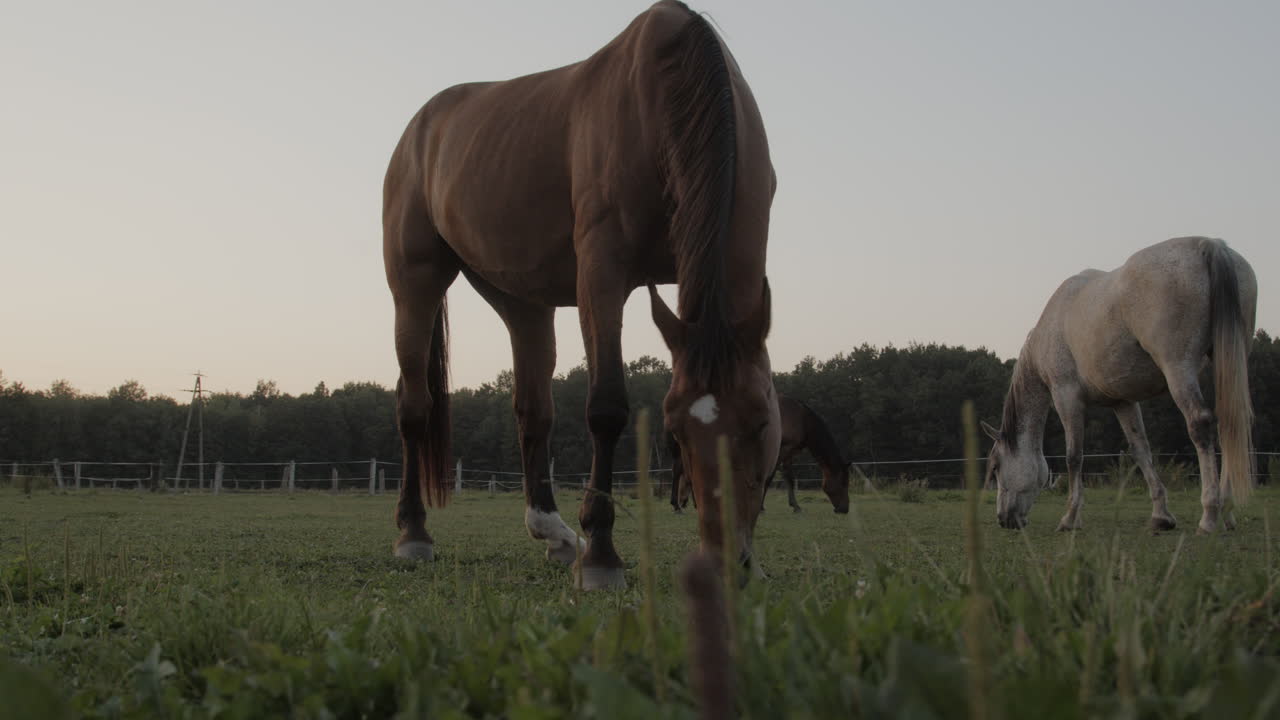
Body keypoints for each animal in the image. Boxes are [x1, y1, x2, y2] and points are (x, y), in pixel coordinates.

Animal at [382, 1, 778, 589]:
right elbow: (607, 407)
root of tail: (420, 129)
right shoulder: (602, 274)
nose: (728, 561)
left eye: (760, 423)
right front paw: (603, 557)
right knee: (414, 406)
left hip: (522, 301)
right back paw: (413, 534)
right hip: (416, 283)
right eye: (675, 433)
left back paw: (553, 532)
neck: (665, 92)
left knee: (532, 411)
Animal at [670, 395, 851, 514]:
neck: (801, 419)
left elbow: (789, 478)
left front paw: (795, 505)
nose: (845, 509)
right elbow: (771, 478)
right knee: (682, 472)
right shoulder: (781, 450)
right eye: (844, 483)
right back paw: (678, 505)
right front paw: (762, 506)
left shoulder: (790, 452)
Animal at [983, 237, 1256, 533]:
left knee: (1200, 425)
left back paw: (1210, 515)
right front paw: (1161, 515)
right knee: (1230, 425)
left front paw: (1070, 518)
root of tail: (1208, 244)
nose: (1003, 519)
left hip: (1178, 369)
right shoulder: (1123, 402)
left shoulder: (1066, 396)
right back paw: (1227, 511)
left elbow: (1074, 456)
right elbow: (1141, 451)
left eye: (996, 467)